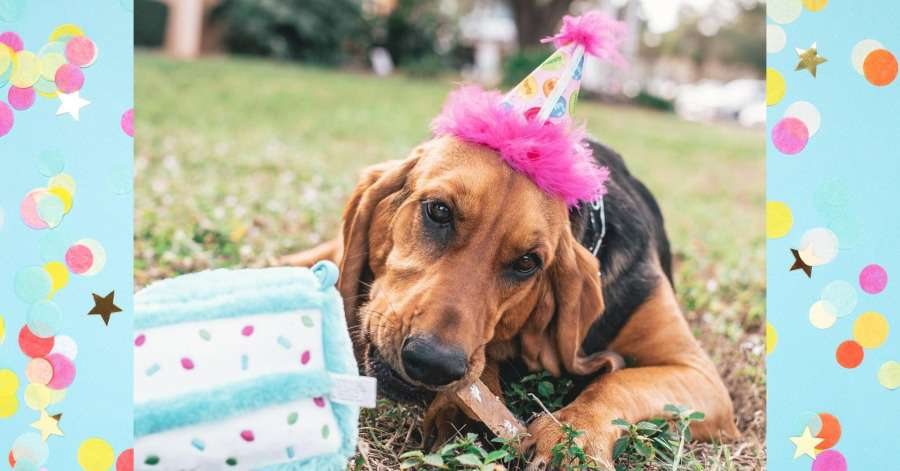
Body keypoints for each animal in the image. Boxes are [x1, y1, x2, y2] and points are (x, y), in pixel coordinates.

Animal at [282, 135, 740, 468]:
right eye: (438, 211)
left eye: (526, 263)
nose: (432, 363)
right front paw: (460, 409)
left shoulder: (699, 375)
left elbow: (616, 382)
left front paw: (573, 437)